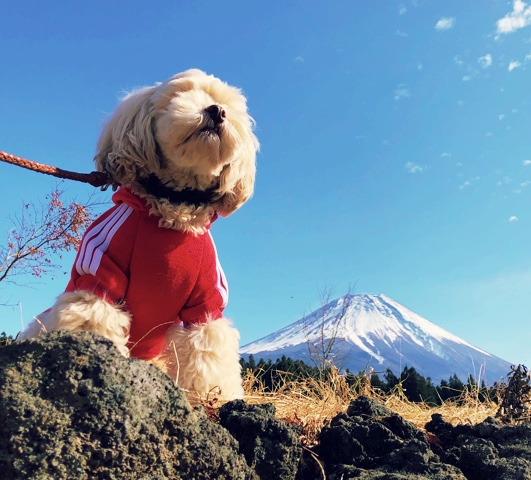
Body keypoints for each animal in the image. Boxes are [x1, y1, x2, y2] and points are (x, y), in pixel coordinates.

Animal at [16, 69, 258, 400]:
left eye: (227, 106)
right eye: (181, 94)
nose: (216, 111)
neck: (173, 212)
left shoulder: (206, 303)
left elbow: (209, 355)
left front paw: (215, 398)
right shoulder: (100, 277)